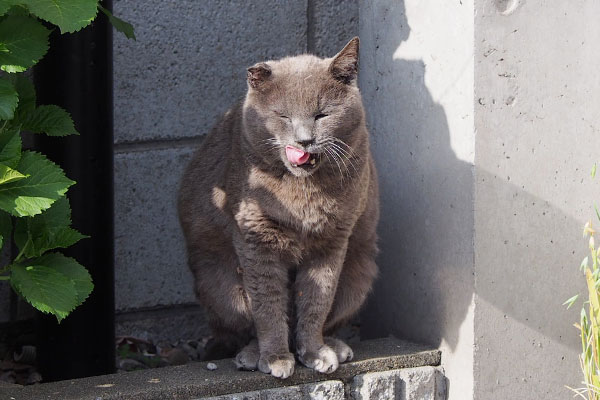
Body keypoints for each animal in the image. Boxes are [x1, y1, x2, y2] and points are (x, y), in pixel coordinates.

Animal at [176, 37, 380, 378]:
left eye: (322, 114)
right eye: (283, 116)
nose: (305, 140)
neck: (303, 195)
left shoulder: (333, 239)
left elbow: (316, 300)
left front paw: (314, 353)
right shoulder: (256, 238)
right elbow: (268, 303)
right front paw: (275, 359)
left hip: (359, 272)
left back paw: (335, 346)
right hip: (219, 284)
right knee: (242, 327)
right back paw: (250, 355)